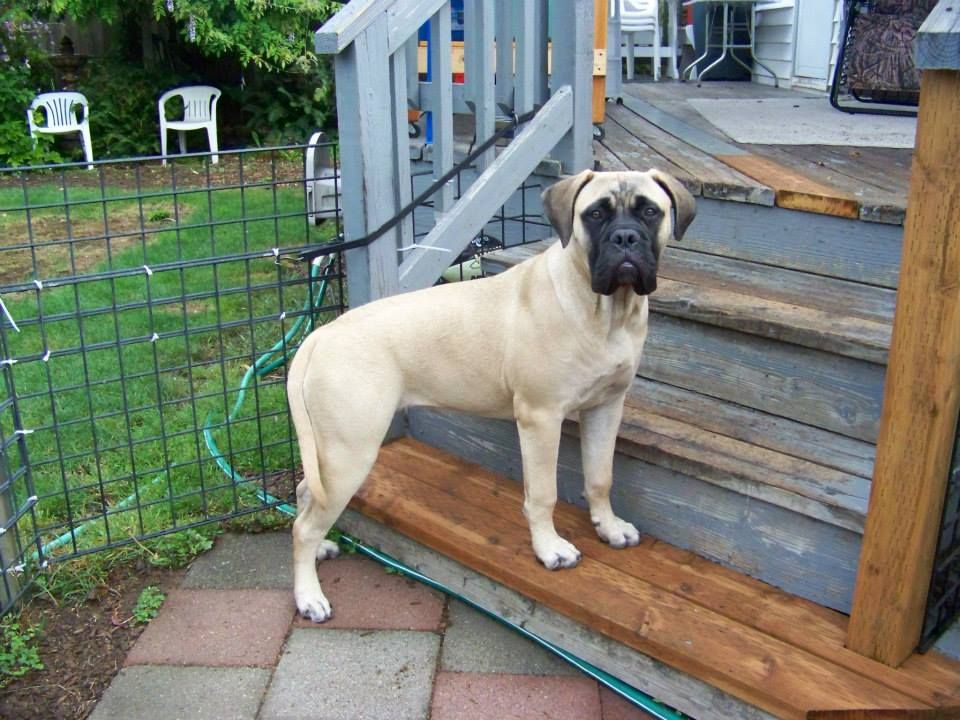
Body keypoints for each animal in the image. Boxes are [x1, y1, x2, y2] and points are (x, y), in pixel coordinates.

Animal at [287, 169, 696, 622]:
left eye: (649, 211)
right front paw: (549, 549)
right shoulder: (541, 417)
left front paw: (608, 526)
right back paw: (308, 596)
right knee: (303, 526)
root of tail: (321, 336)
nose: (625, 238)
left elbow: (600, 476)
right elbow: (543, 493)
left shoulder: (606, 407)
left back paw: (319, 552)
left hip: (329, 452)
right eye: (595, 214)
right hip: (350, 453)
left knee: (306, 495)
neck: (605, 310)